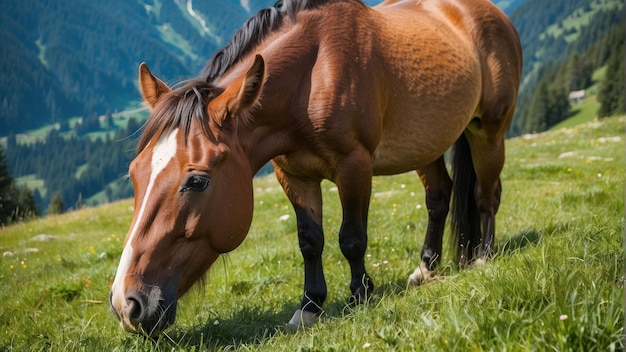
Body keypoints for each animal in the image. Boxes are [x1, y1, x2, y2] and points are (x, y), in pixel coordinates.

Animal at [109, 0, 520, 336]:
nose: (127, 303)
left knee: (486, 195)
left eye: (197, 181)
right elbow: (310, 240)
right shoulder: (294, 175)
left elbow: (351, 237)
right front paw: (310, 305)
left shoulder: (354, 166)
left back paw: (482, 255)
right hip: (427, 143)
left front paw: (360, 295)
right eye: (134, 175)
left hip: (490, 131)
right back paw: (426, 268)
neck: (313, 74)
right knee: (438, 197)